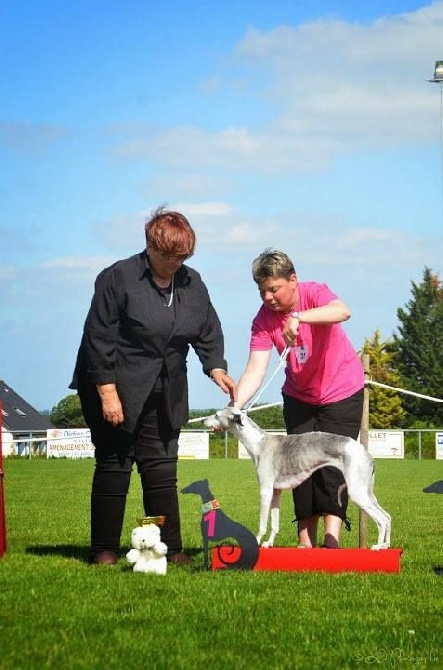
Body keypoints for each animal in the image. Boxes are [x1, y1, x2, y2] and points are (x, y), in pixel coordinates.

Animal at [205, 410, 392, 552]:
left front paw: (257, 542)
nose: (204, 421)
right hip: (367, 492)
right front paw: (268, 543)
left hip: (357, 493)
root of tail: (366, 453)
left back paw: (377, 546)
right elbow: (275, 523)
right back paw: (385, 545)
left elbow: (263, 523)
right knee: (387, 516)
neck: (259, 443)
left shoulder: (265, 490)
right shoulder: (276, 492)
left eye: (216, 414)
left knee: (381, 519)